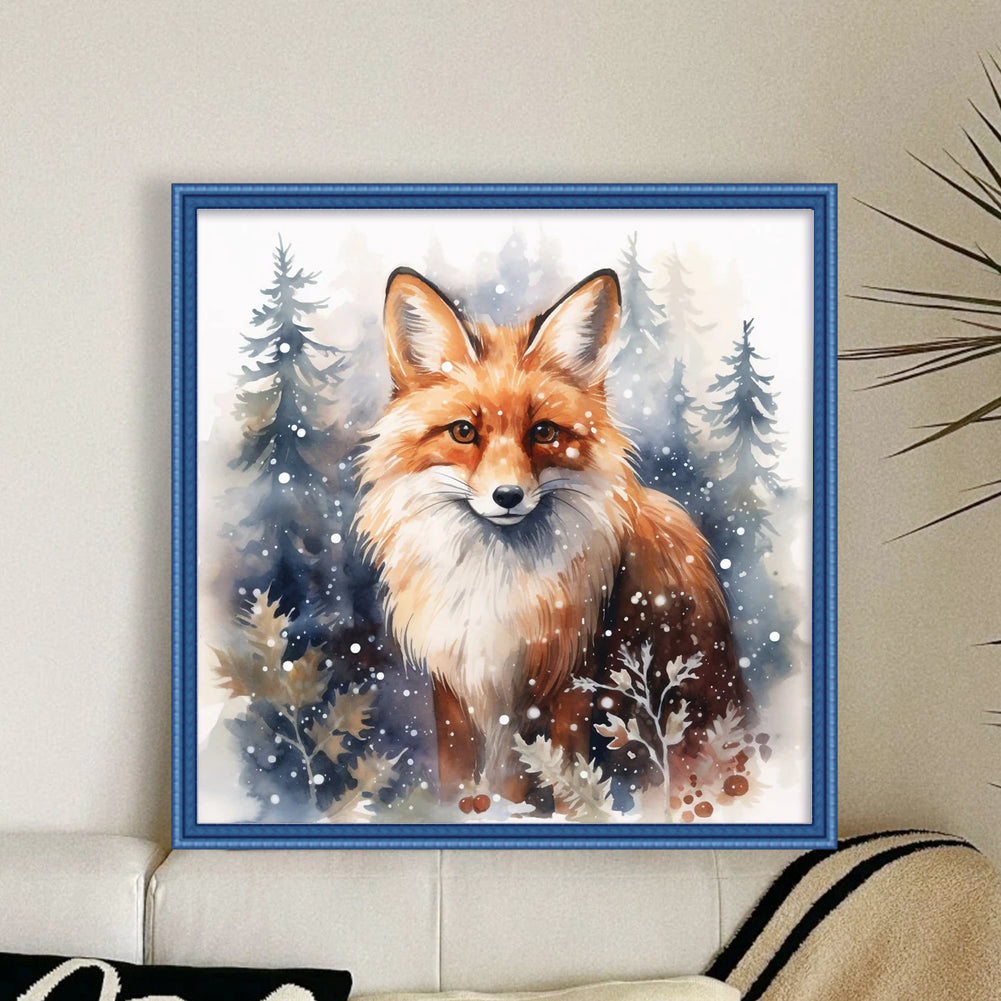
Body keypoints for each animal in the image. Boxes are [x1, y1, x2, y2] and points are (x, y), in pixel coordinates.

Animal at [355, 266, 750, 810]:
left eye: (543, 432)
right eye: (463, 431)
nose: (507, 495)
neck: (496, 583)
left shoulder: (571, 682)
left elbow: (567, 783)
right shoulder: (455, 686)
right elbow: (459, 779)